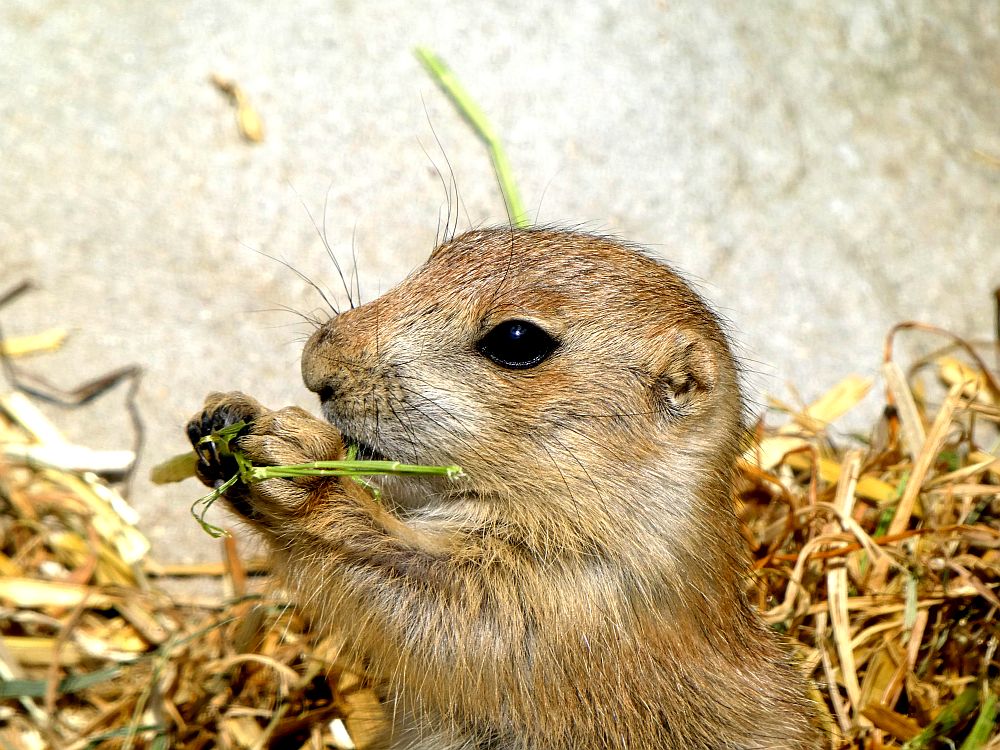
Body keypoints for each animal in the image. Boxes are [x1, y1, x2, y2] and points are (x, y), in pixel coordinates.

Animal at [187, 228, 824, 749]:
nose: (314, 366)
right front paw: (222, 418)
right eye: (441, 253)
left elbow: (431, 603)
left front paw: (291, 464)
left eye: (517, 339)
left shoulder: (561, 606)